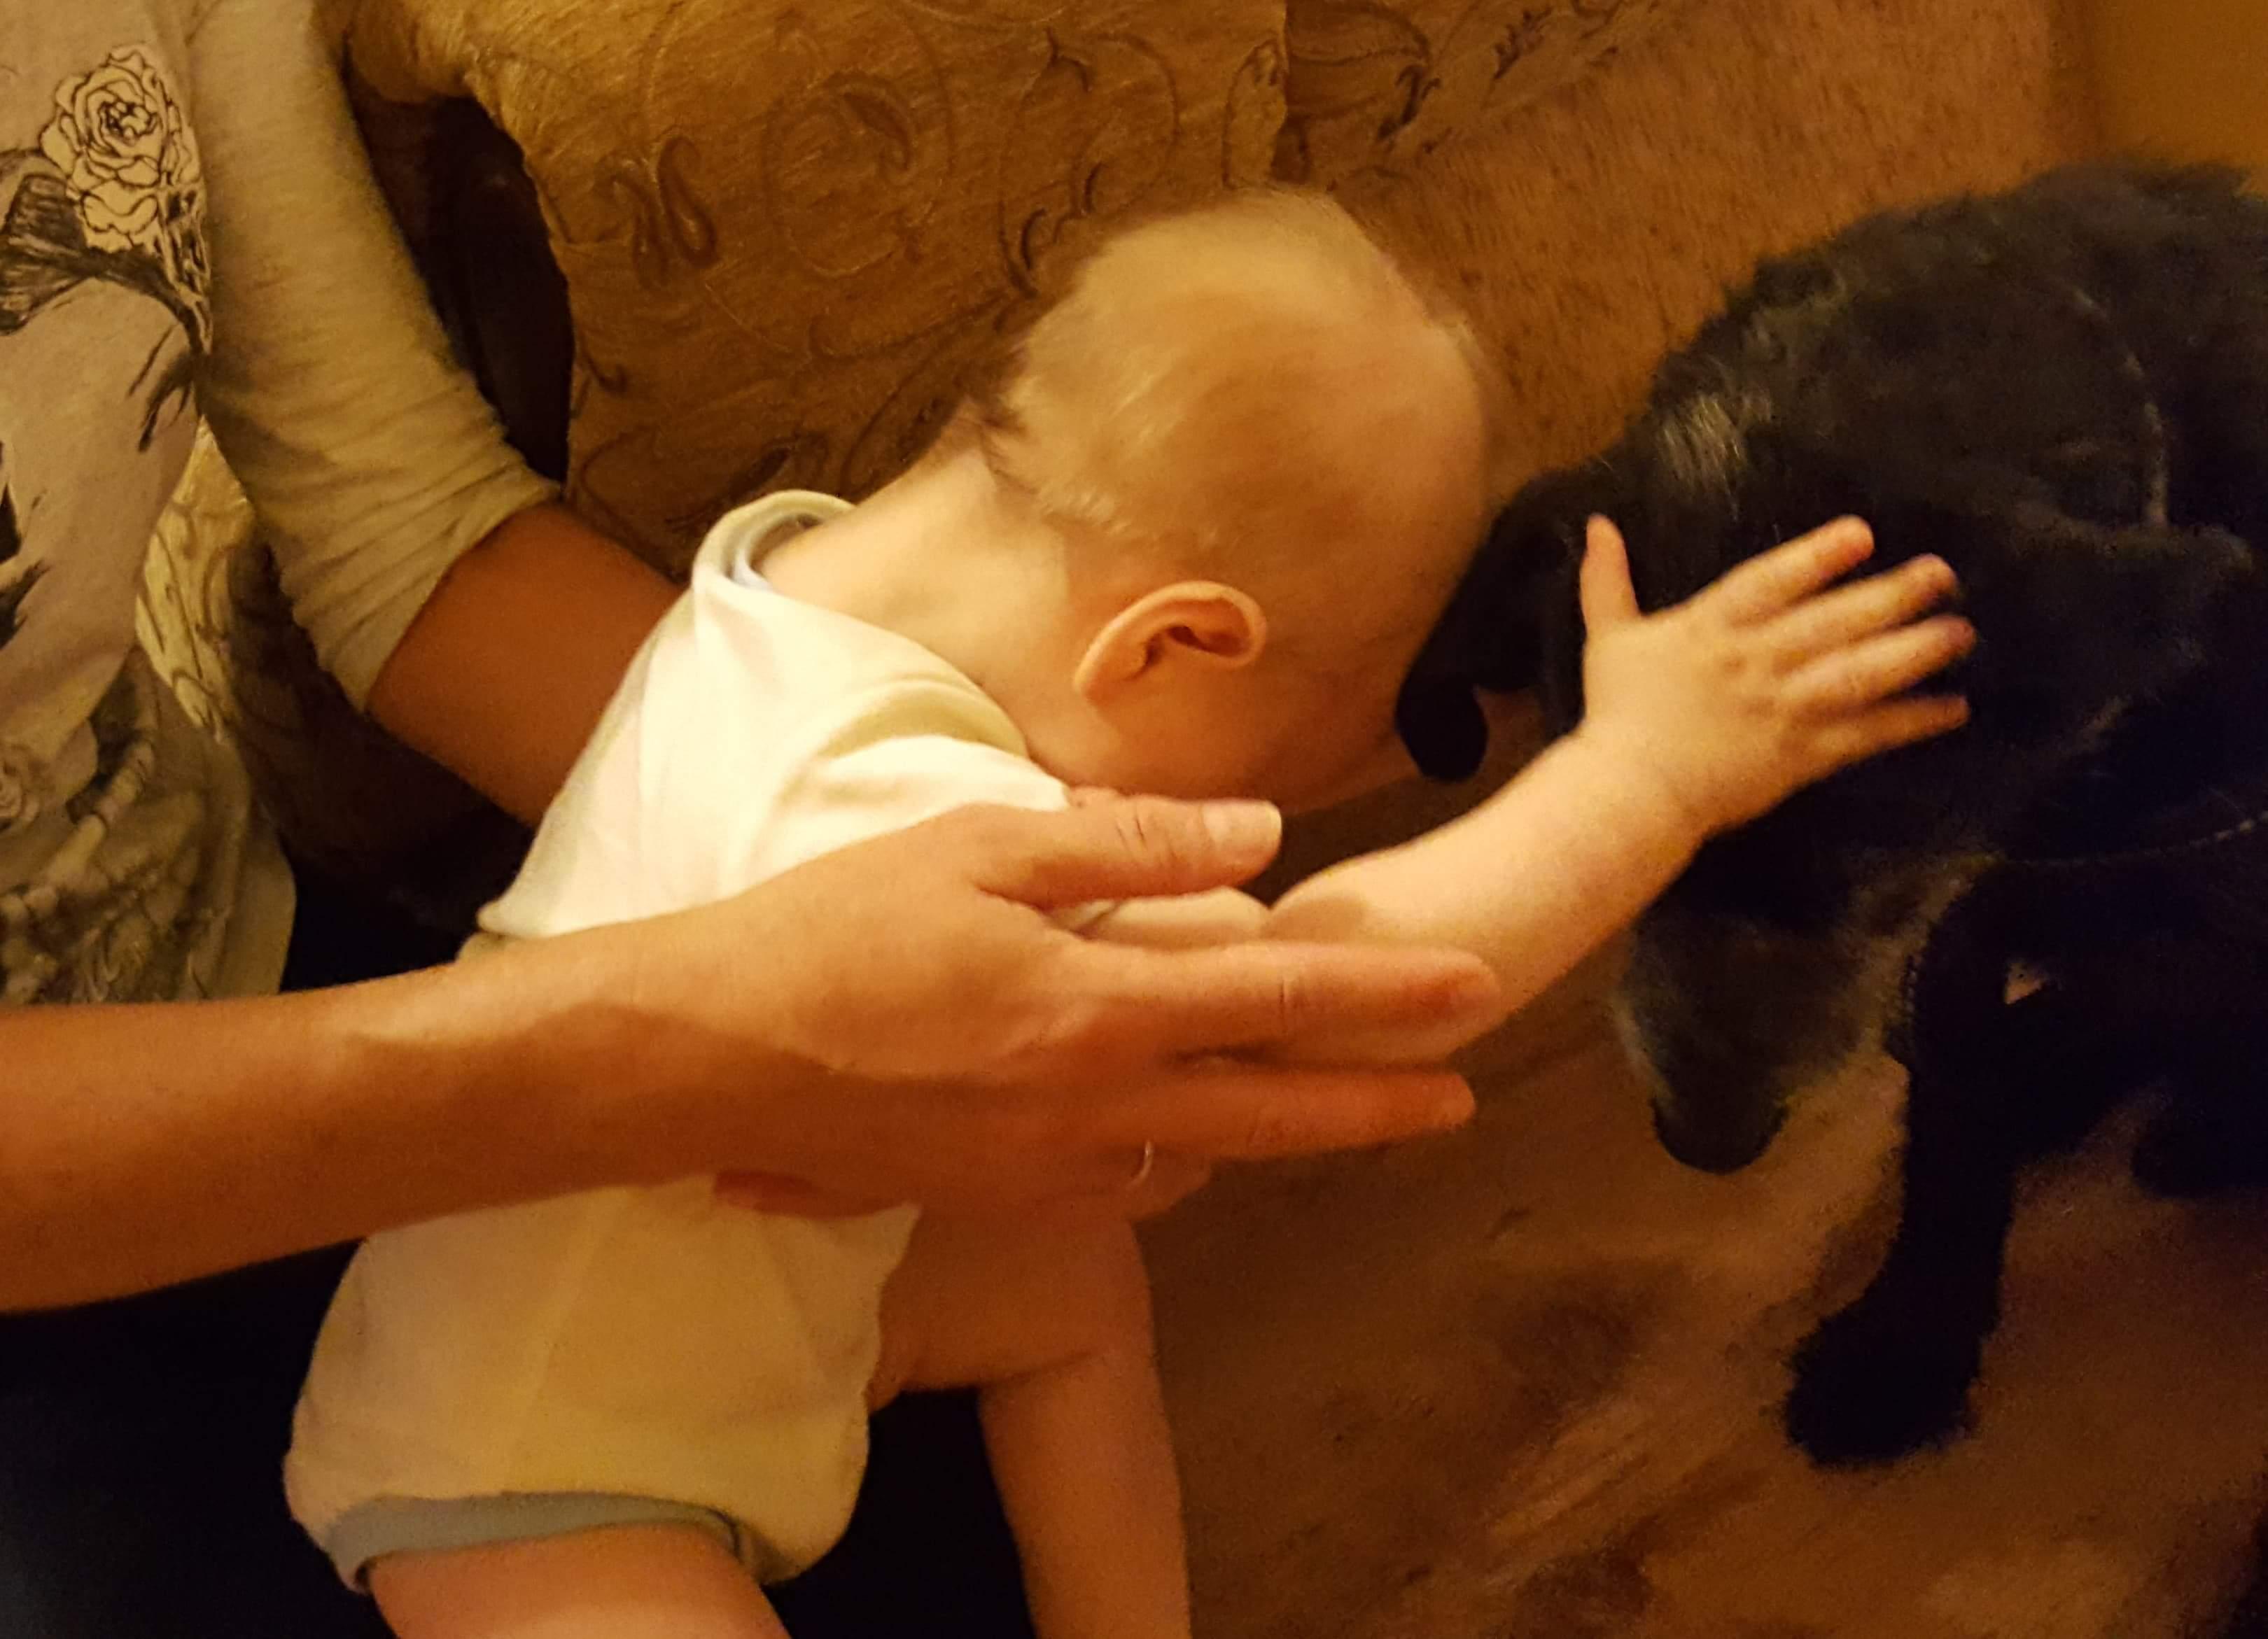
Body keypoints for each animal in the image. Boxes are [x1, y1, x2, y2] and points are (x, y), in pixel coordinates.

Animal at [1396, 162, 2268, 1619]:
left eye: (1851, 849)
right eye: (1628, 814)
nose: (1705, 1140)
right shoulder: (1967, 915)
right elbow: (1951, 1126)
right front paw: (1911, 1337)